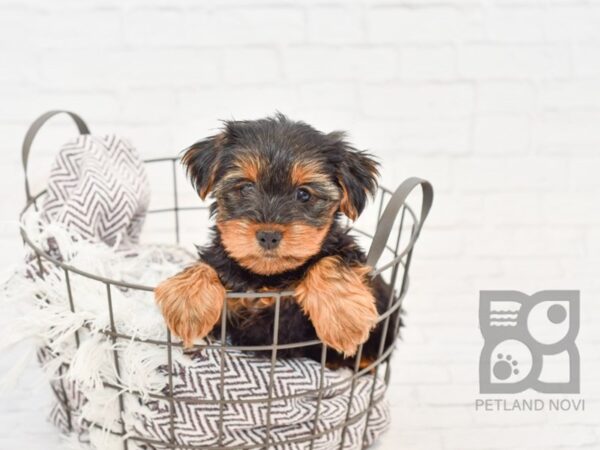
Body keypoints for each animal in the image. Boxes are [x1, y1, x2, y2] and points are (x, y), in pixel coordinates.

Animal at [155, 113, 398, 370]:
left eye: (304, 194)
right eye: (246, 187)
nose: (269, 235)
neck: (269, 276)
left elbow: (331, 261)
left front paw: (344, 319)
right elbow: (209, 265)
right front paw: (187, 306)